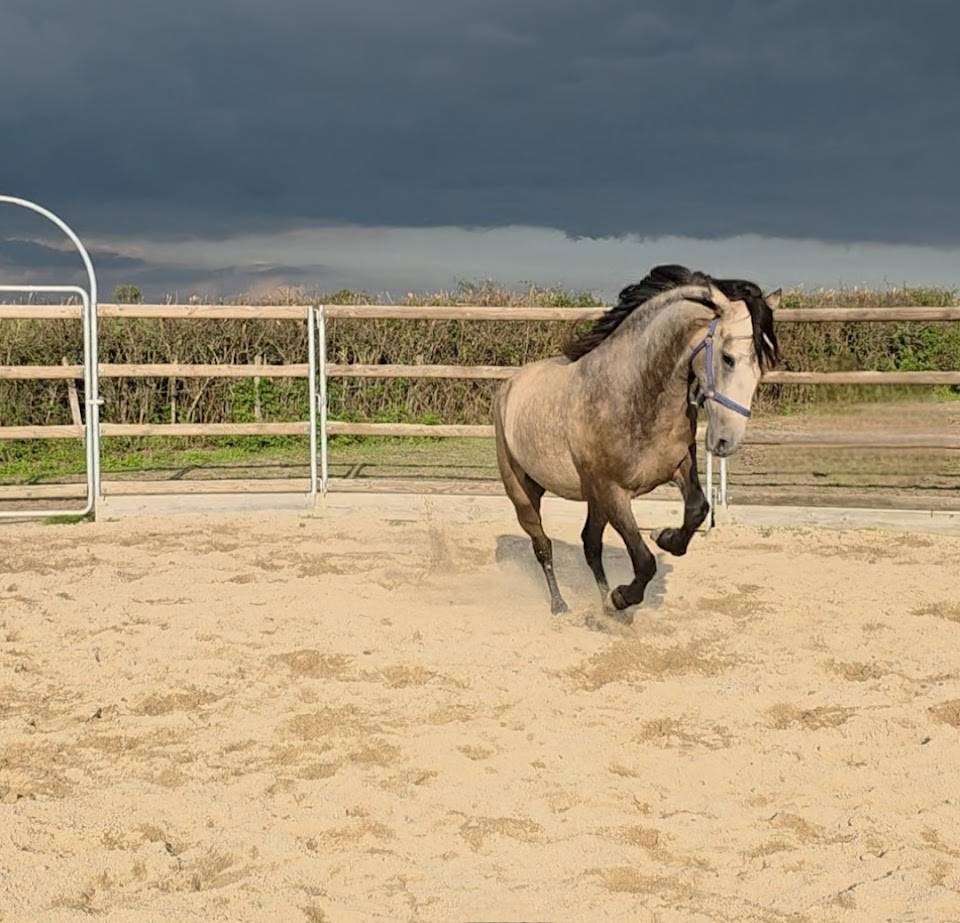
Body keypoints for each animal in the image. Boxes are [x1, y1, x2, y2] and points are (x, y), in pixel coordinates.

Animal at [493, 264, 780, 615]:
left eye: (762, 369)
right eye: (728, 358)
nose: (728, 441)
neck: (632, 393)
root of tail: (509, 386)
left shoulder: (679, 465)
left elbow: (697, 510)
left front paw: (664, 537)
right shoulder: (613, 492)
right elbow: (644, 562)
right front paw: (623, 596)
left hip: (591, 500)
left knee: (590, 545)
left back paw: (603, 605)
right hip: (524, 492)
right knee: (543, 545)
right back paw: (562, 605)